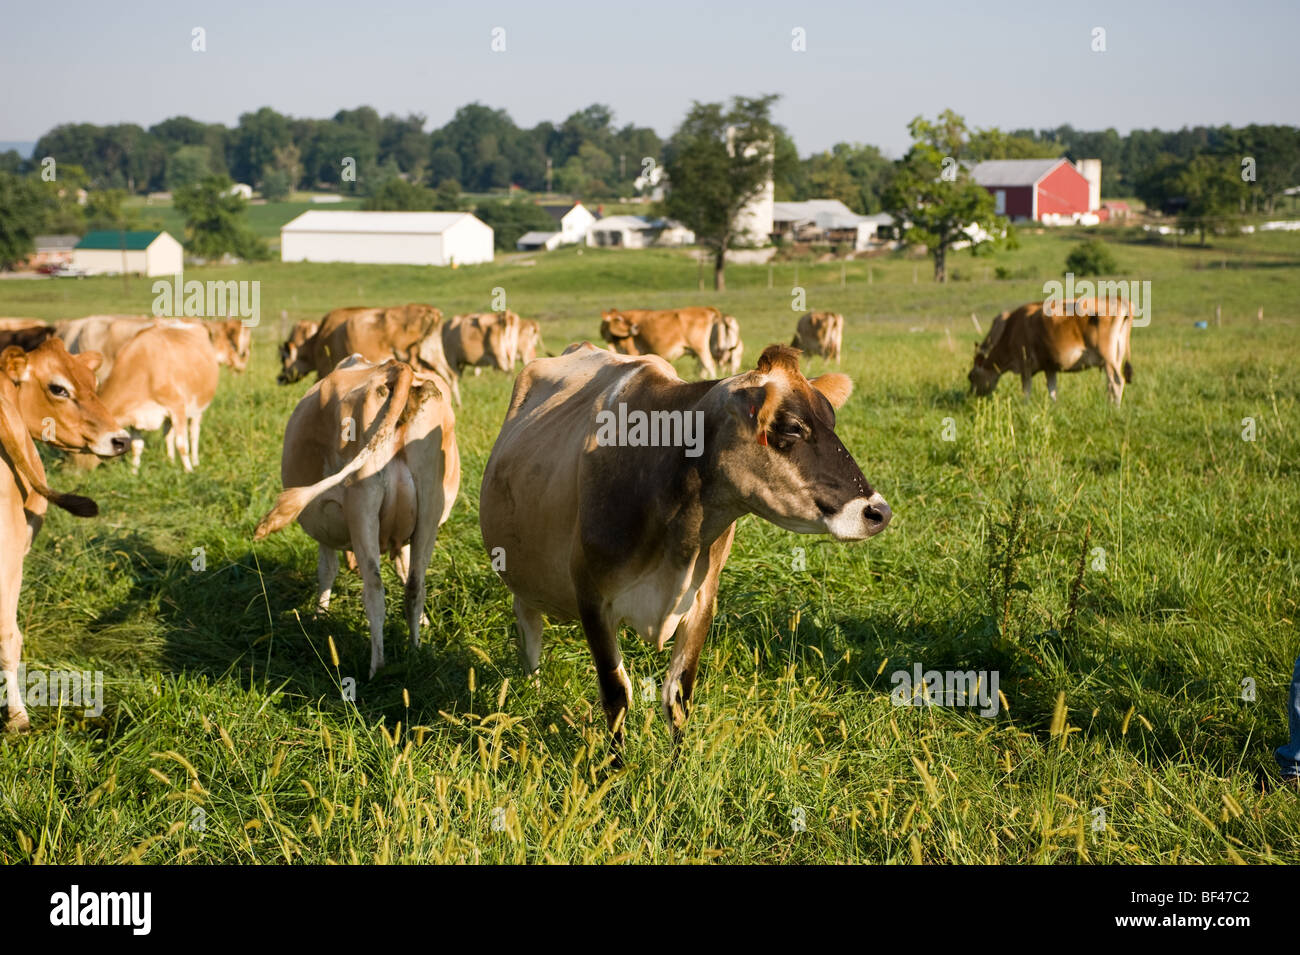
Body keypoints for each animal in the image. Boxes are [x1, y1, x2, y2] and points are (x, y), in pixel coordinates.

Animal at [250, 358, 460, 680]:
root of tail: (395, 367)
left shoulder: (324, 529)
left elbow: (327, 571)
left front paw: (319, 616)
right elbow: (404, 570)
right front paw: (424, 625)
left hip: (363, 504)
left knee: (374, 588)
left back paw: (376, 667)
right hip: (430, 503)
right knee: (416, 584)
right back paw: (415, 652)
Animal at [480, 343, 894, 748]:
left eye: (832, 422)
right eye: (792, 427)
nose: (878, 512)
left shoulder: (702, 599)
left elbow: (678, 696)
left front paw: (677, 765)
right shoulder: (591, 597)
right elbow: (616, 695)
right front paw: (615, 767)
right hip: (522, 573)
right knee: (529, 627)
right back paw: (533, 690)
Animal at [598, 307, 733, 379]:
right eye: (617, 319)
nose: (635, 327)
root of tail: (707, 309)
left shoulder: (632, 350)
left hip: (700, 348)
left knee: (709, 364)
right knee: (703, 366)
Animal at [972, 298, 1133, 402]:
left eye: (970, 377)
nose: (970, 396)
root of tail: (1119, 300)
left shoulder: (1025, 365)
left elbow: (1026, 392)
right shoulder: (1049, 367)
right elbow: (1052, 391)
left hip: (1107, 356)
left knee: (1117, 382)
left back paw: (1114, 410)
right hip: (1116, 357)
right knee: (1110, 383)